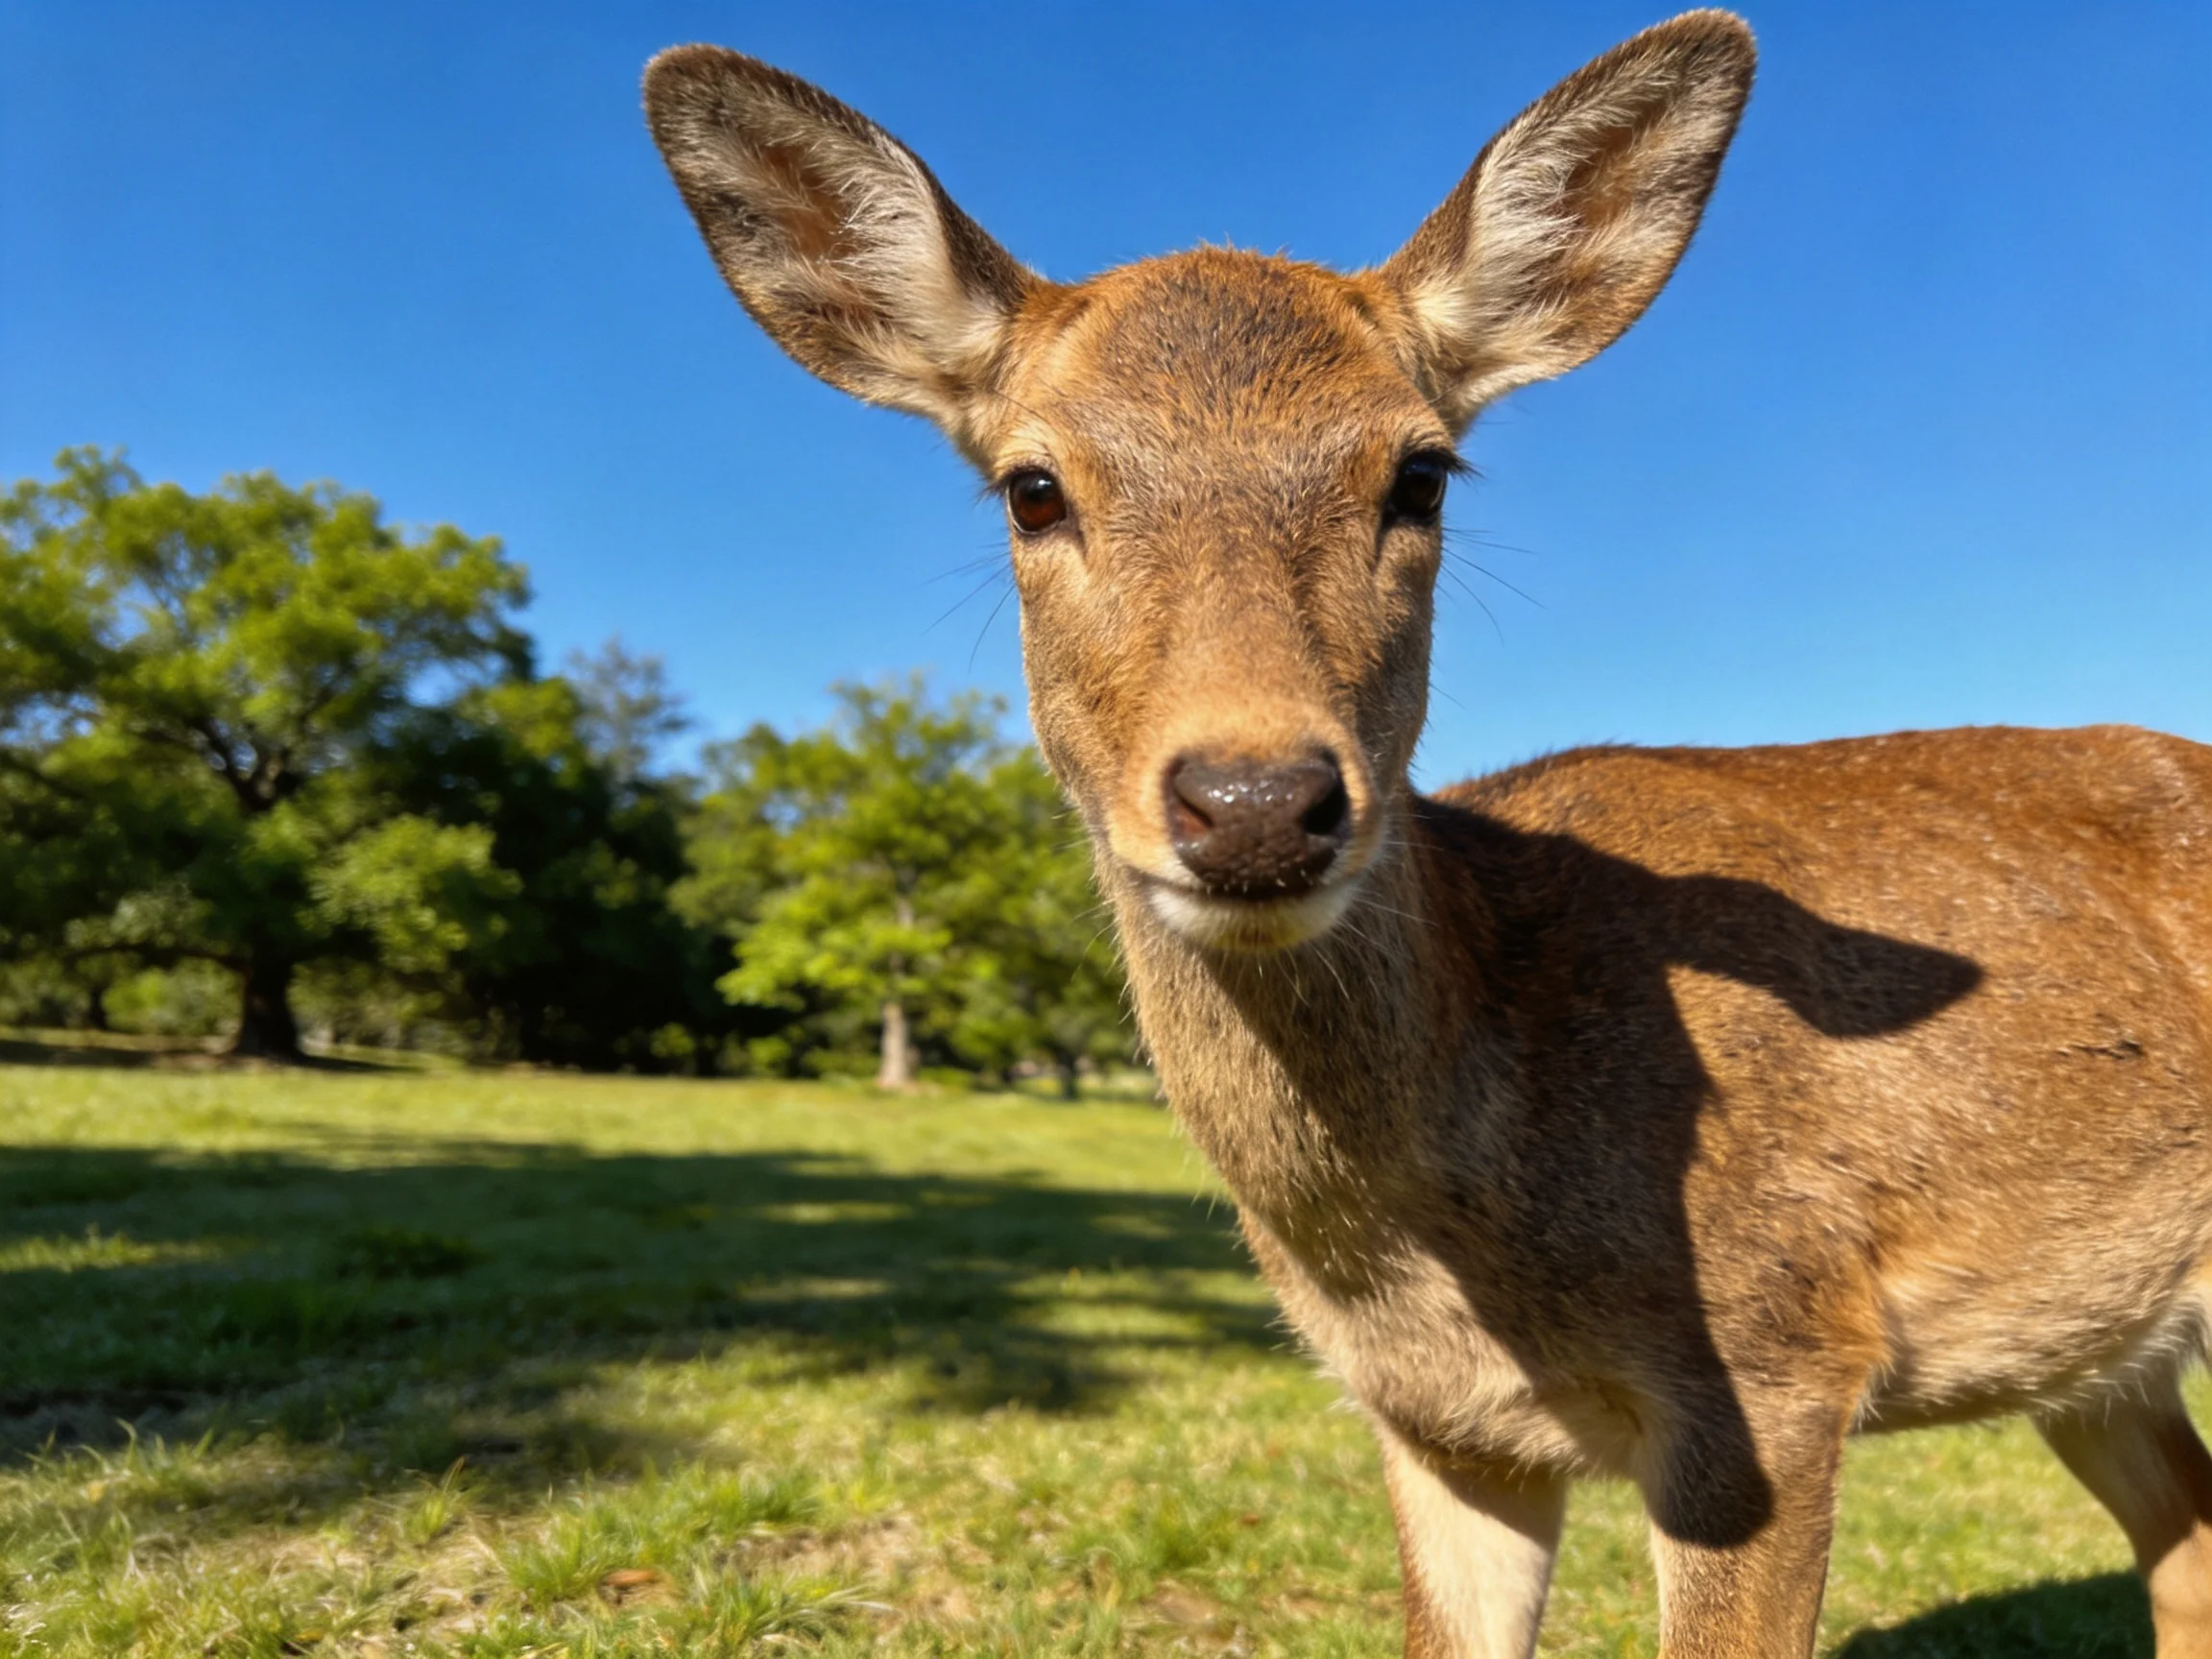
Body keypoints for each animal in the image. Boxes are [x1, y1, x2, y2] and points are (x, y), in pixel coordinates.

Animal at [642, 12, 2212, 1654]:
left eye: (1419, 473)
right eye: (1033, 485)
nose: (1255, 801)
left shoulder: (1783, 1354)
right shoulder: (1433, 1424)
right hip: (2096, 1350)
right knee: (2189, 1530)